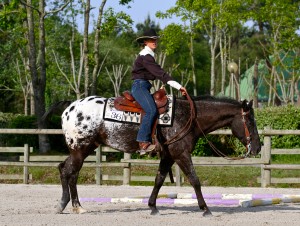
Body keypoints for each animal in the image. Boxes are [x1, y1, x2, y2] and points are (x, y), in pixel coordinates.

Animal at [55, 94, 260, 216]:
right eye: (250, 121)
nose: (257, 148)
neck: (187, 116)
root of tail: (70, 107)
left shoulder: (168, 156)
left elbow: (159, 180)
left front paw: (153, 206)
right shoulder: (181, 154)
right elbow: (194, 180)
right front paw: (205, 208)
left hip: (83, 149)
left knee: (67, 170)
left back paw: (72, 205)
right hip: (80, 149)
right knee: (69, 172)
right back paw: (70, 205)